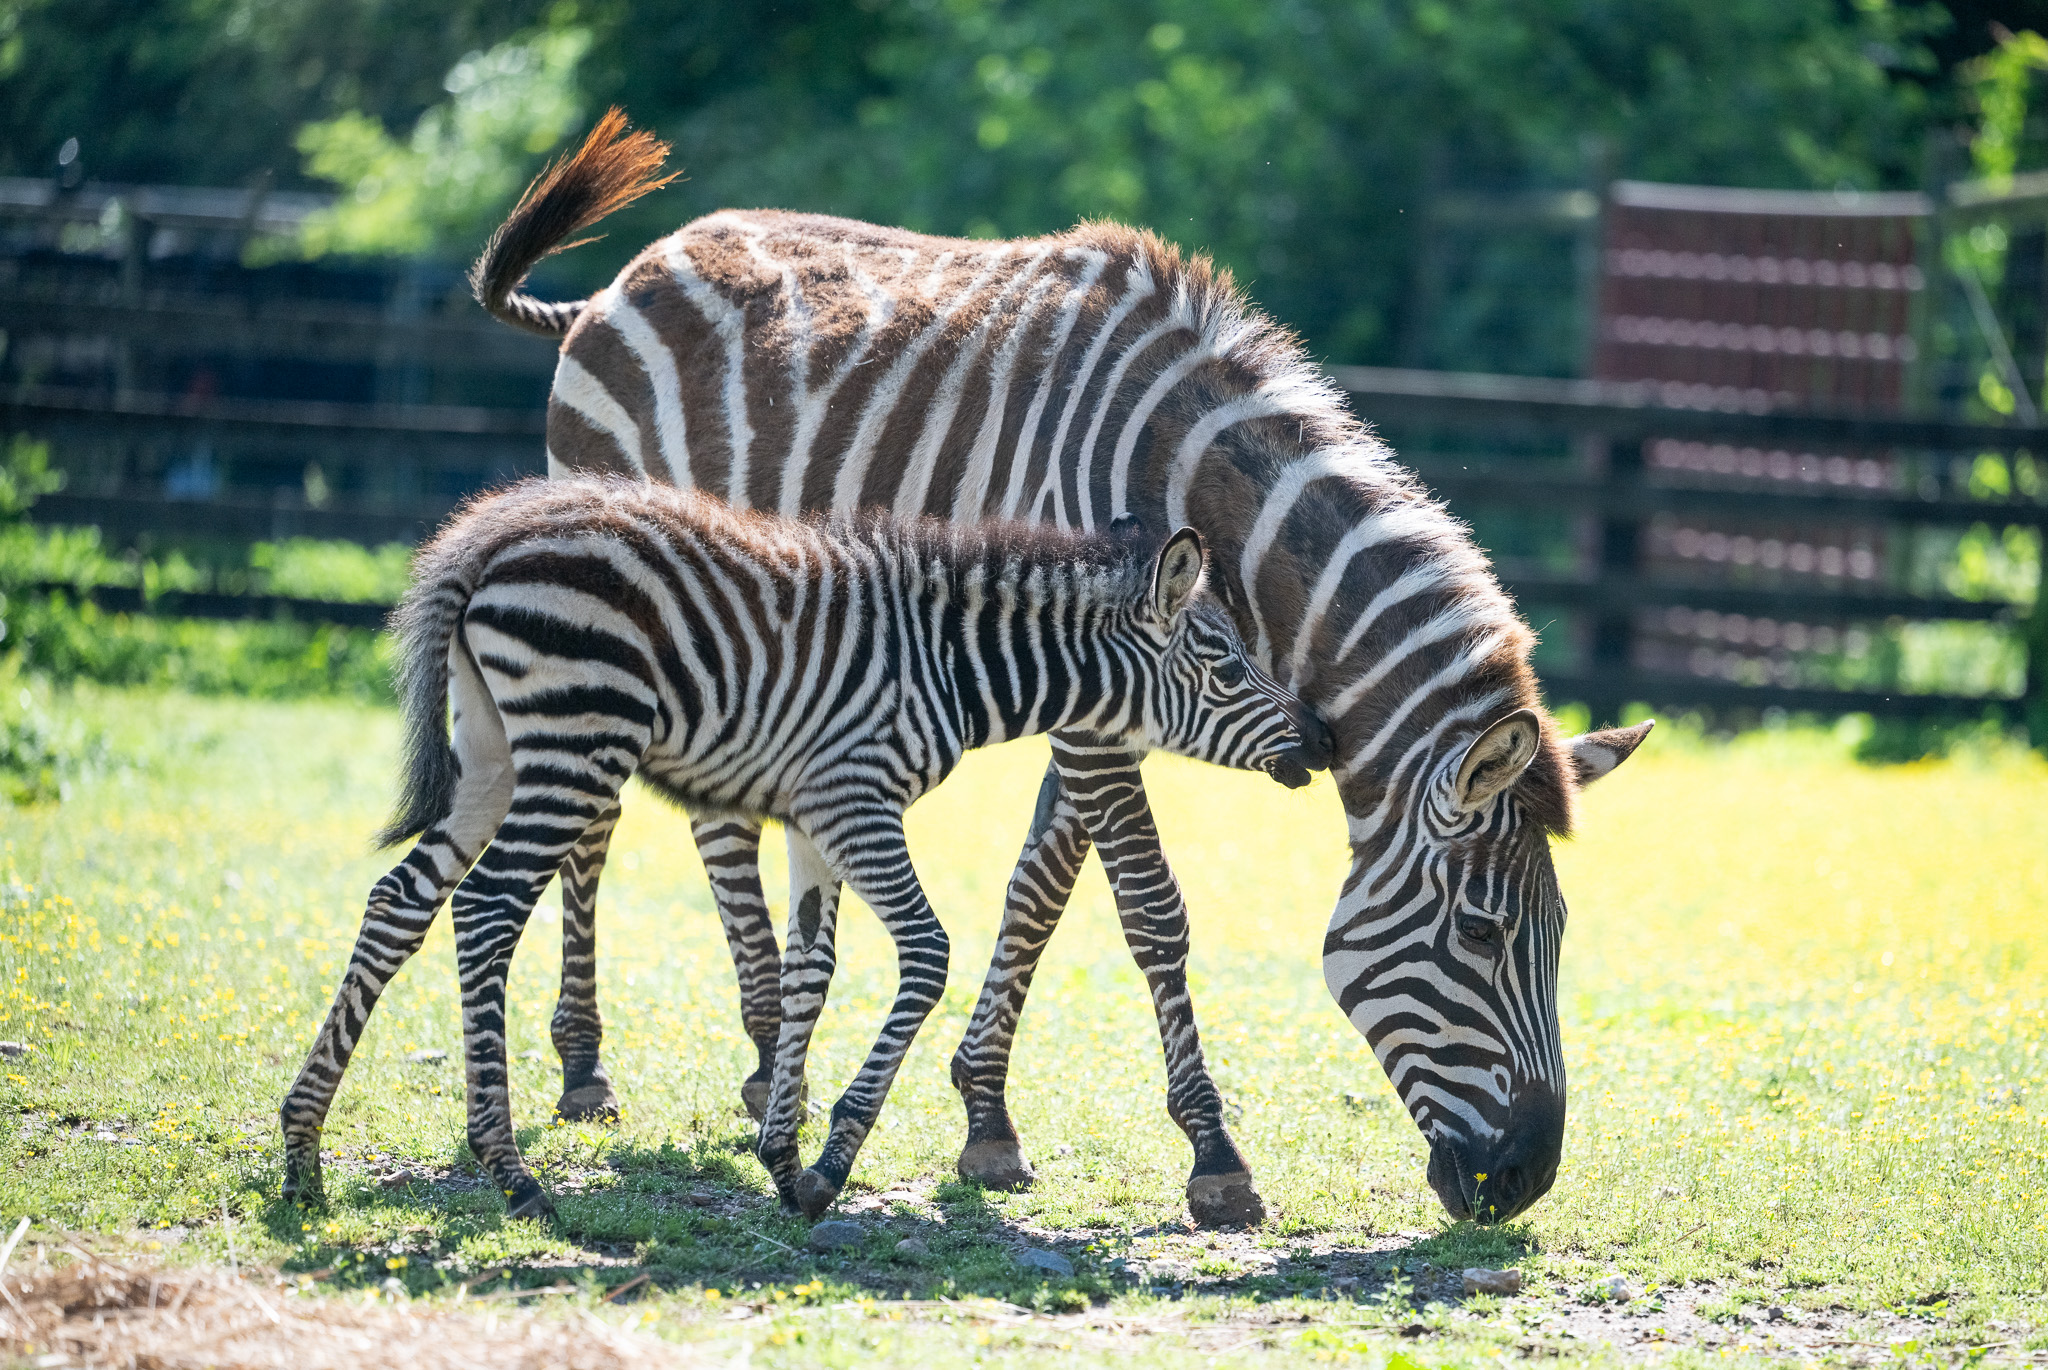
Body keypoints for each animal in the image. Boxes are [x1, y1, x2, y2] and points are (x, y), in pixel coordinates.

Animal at [280, 475, 1318, 1212]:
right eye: (1228, 666)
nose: (1317, 743)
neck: (949, 663)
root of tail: (491, 537)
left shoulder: (819, 815)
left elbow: (808, 972)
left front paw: (782, 1158)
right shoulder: (859, 801)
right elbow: (926, 955)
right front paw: (831, 1161)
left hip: (494, 752)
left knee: (403, 900)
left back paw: (302, 1151)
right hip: (576, 746)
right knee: (489, 911)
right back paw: (508, 1172)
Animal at [479, 112, 1646, 1220]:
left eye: (1560, 932)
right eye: (1484, 930)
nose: (1527, 1179)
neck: (1200, 492)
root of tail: (625, 276)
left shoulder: (1103, 697)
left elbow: (1039, 887)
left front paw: (987, 1117)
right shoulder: (1095, 699)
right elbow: (1150, 909)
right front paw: (1214, 1158)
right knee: (619, 823)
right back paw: (620, 1066)